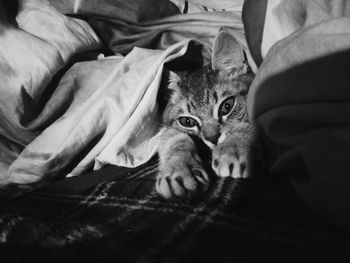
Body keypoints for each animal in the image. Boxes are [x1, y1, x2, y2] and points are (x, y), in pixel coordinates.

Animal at [156, 30, 260, 200]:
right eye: (188, 122)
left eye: (226, 107)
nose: (213, 138)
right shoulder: (167, 126)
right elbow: (175, 138)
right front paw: (178, 169)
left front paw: (233, 147)